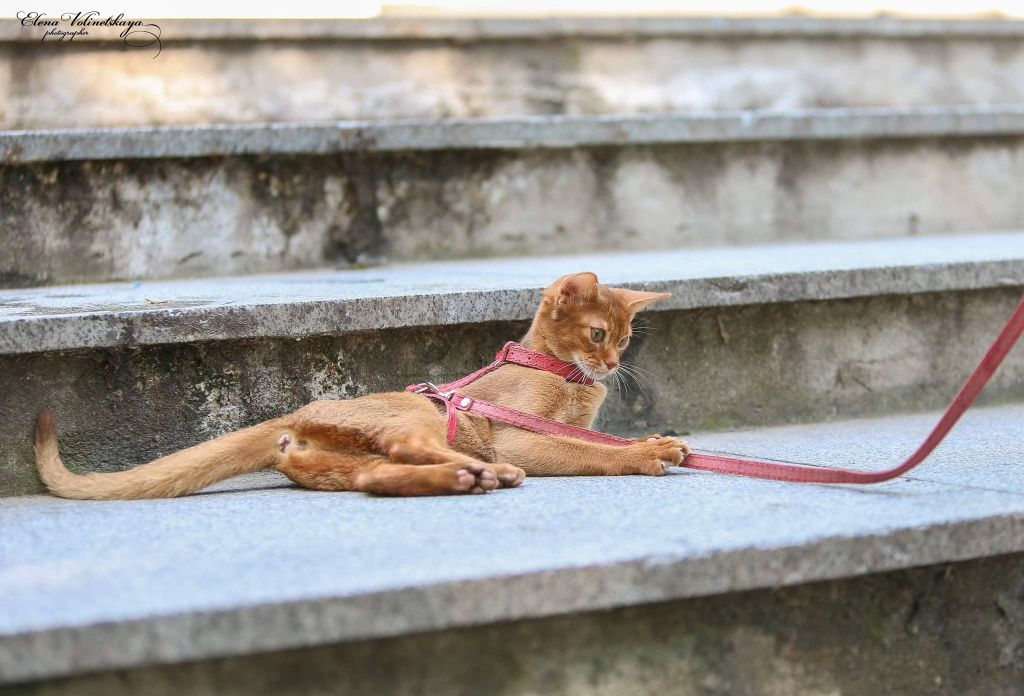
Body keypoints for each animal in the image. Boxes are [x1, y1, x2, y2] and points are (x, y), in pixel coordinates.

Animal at [34, 268, 688, 497]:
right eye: (598, 335)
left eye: (625, 338)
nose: (613, 367)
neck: (563, 374)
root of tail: (293, 419)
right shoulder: (519, 431)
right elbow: (589, 449)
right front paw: (646, 454)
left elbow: (592, 439)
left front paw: (657, 442)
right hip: (425, 415)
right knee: (410, 446)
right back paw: (482, 471)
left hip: (348, 461)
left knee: (377, 475)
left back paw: (467, 478)